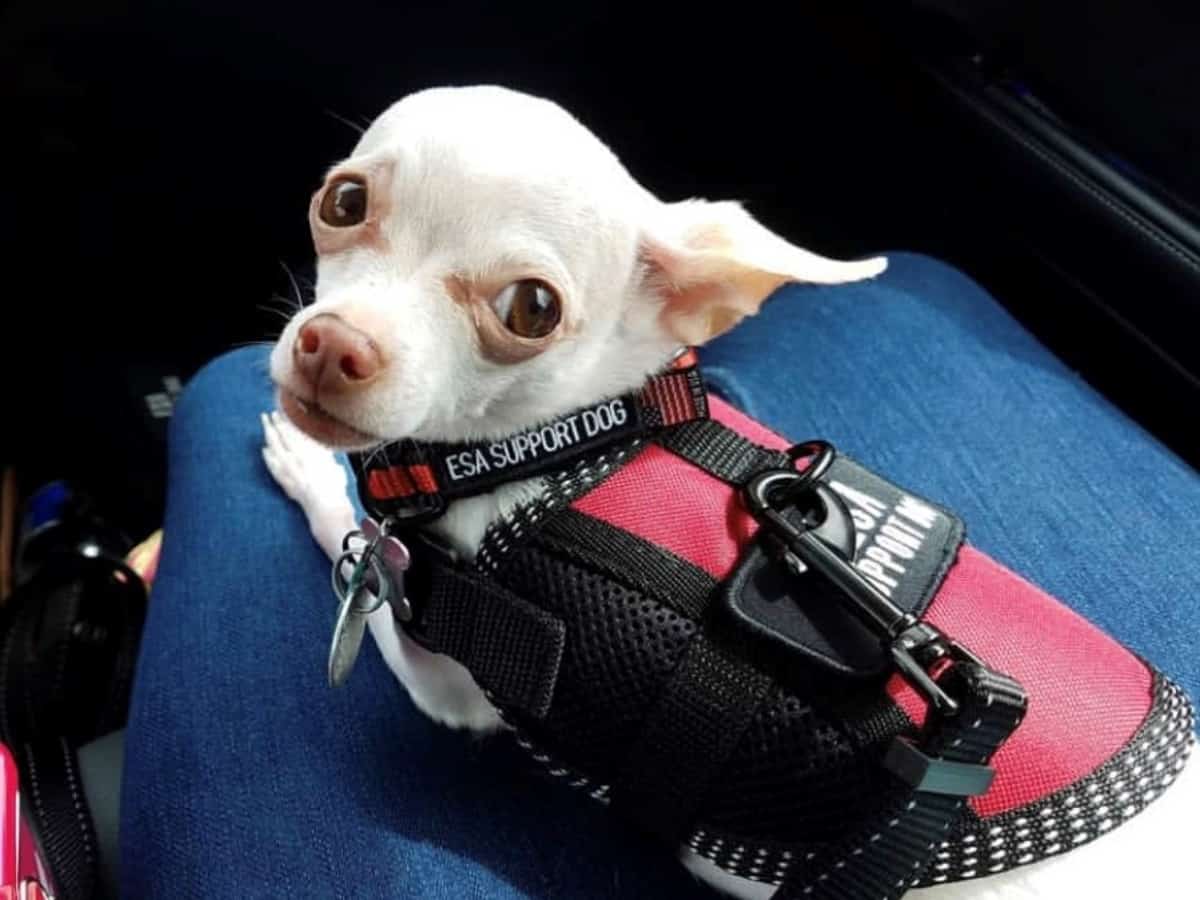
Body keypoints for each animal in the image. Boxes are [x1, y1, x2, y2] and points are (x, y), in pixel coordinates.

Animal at [260, 86, 1190, 900]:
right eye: (343, 201)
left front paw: (310, 472)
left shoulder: (448, 678)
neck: (578, 434)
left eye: (531, 309)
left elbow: (355, 555)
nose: (332, 344)